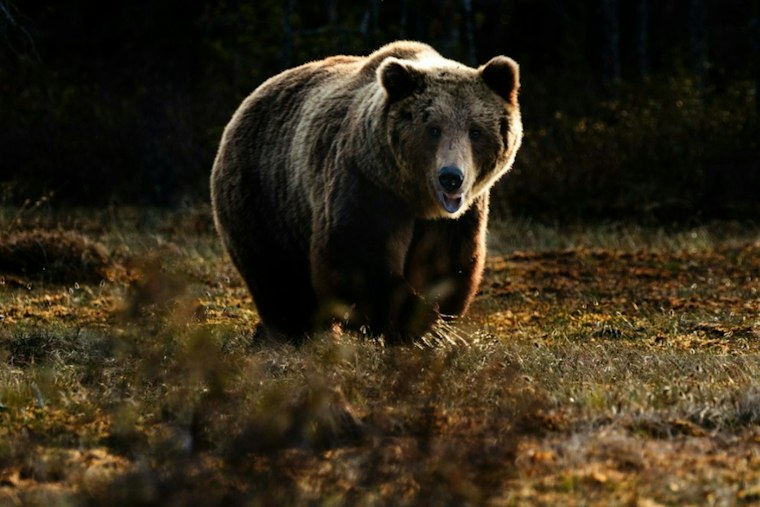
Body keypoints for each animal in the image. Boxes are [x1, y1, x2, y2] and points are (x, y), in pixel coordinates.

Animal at [211, 40, 522, 342]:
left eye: (475, 131)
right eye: (433, 129)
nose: (451, 178)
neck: (415, 197)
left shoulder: (457, 216)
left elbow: (446, 263)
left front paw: (431, 323)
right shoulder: (366, 184)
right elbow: (356, 257)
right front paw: (411, 323)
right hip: (264, 194)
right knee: (277, 274)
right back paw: (295, 331)